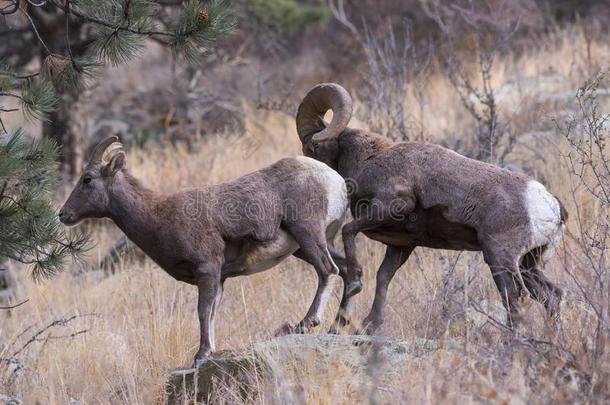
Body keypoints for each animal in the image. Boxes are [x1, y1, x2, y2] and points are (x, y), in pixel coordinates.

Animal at [63, 136, 346, 366]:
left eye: (87, 179)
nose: (63, 215)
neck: (157, 215)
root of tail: (335, 180)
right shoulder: (219, 279)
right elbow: (211, 314)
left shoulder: (207, 271)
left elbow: (202, 312)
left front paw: (200, 356)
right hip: (313, 245)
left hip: (308, 235)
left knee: (328, 270)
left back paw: (305, 324)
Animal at [296, 83, 564, 332]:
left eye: (312, 148)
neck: (369, 159)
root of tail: (550, 205)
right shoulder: (401, 245)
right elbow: (383, 277)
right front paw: (369, 325)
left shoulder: (392, 205)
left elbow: (348, 231)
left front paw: (354, 285)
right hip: (528, 263)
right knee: (551, 295)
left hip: (500, 258)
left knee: (516, 299)